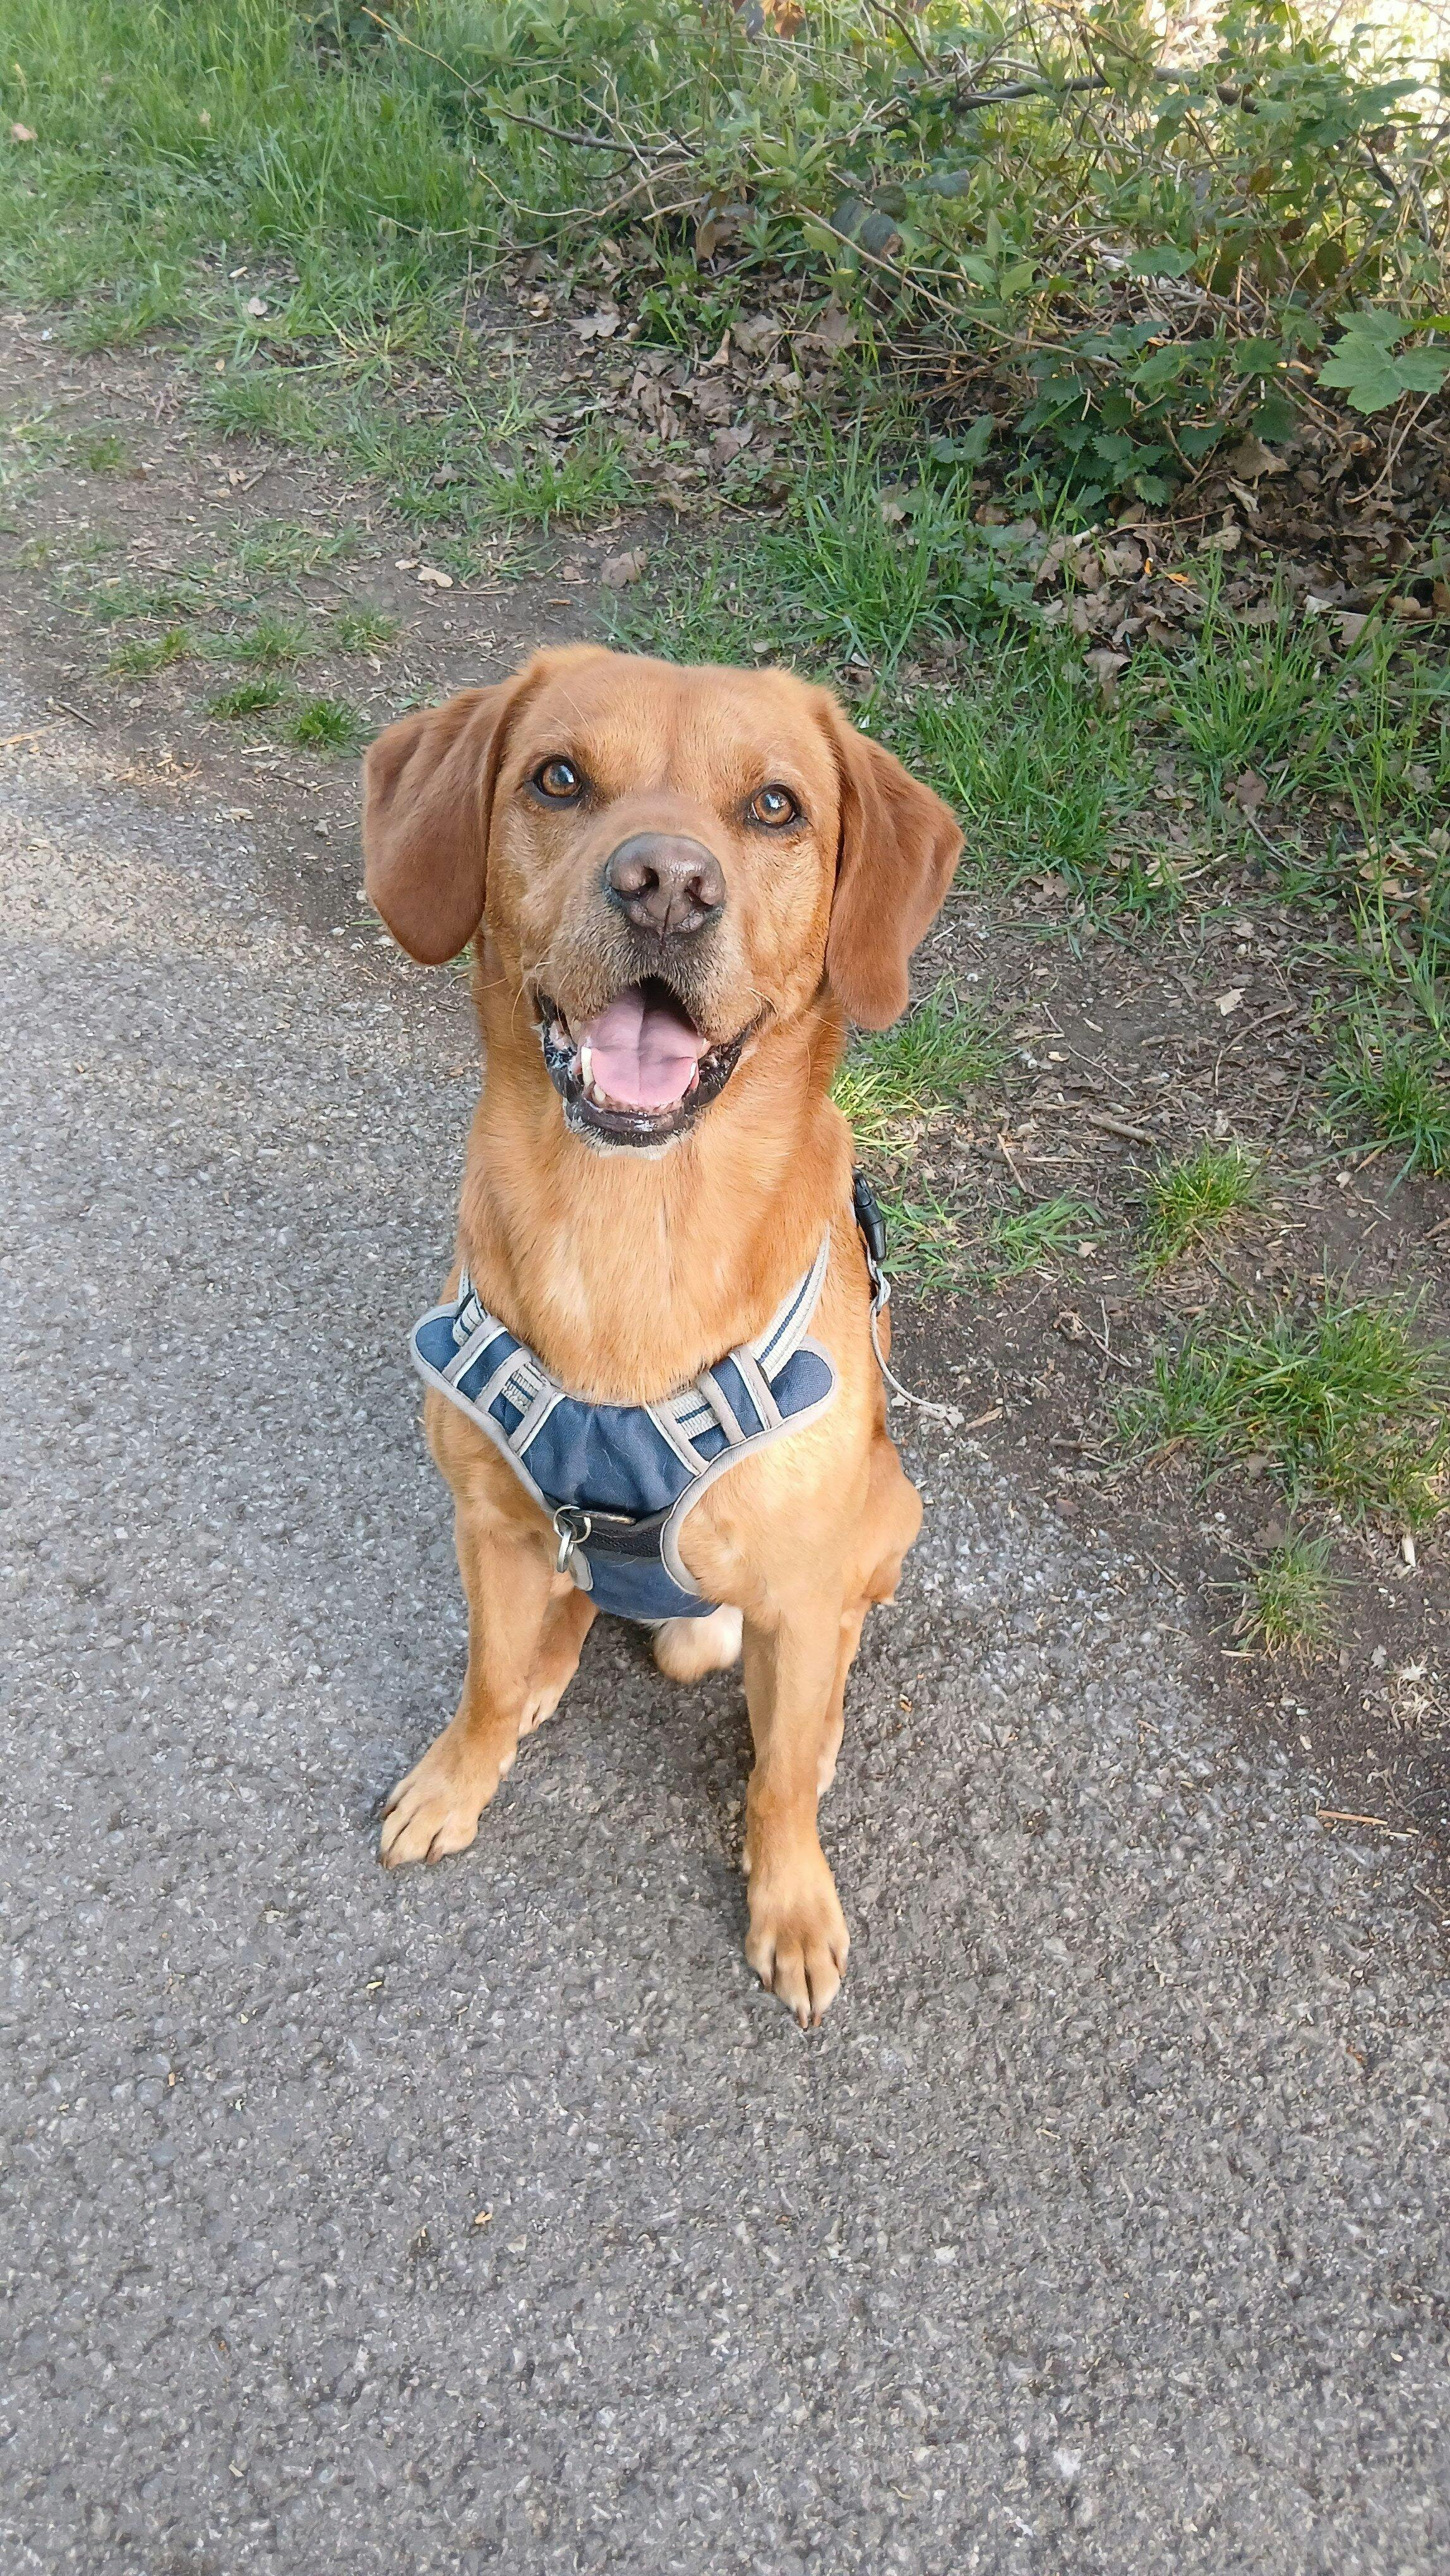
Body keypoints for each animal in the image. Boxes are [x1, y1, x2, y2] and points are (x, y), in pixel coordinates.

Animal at [362, 645, 961, 2023]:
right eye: (557, 778)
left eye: (777, 808)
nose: (667, 888)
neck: (626, 1229)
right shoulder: (481, 1520)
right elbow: (480, 1678)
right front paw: (458, 1775)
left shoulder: (798, 1590)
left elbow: (777, 1781)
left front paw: (789, 1899)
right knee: (572, 1602)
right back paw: (550, 1654)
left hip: (884, 1520)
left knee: (816, 1667)